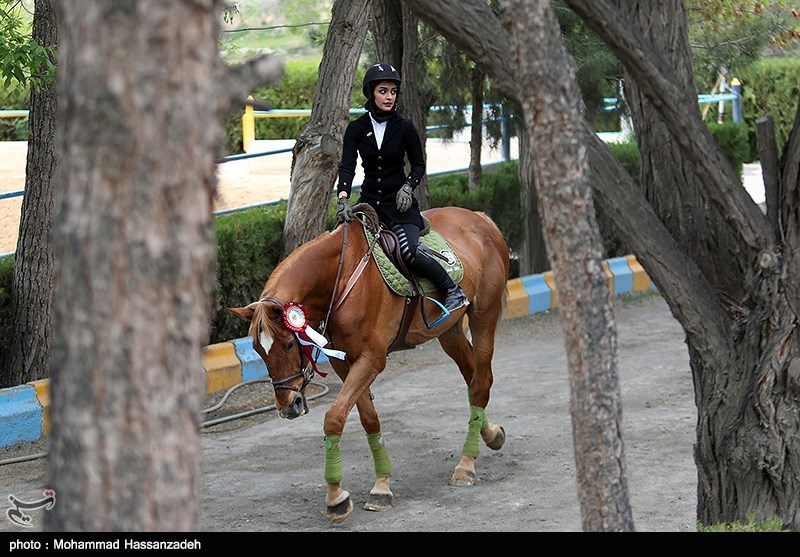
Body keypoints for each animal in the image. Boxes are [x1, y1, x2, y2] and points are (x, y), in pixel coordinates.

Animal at [228, 204, 510, 520]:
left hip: (483, 316)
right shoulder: (345, 362)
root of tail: (479, 218)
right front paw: (381, 485)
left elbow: (334, 418)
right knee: (473, 379)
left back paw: (466, 464)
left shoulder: (371, 359)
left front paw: (336, 497)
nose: (289, 406)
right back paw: (491, 435)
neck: (340, 278)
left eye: (289, 344)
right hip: (448, 331)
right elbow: (368, 418)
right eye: (257, 349)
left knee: (482, 381)